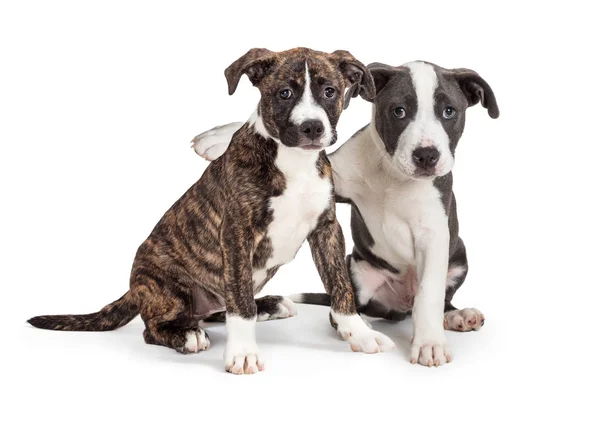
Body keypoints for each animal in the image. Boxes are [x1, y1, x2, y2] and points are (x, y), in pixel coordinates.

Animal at [28, 47, 396, 374]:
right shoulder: (236, 233)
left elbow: (340, 286)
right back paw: (187, 335)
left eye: (329, 91)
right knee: (160, 325)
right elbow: (240, 302)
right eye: (285, 93)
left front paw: (359, 333)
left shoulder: (327, 228)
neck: (293, 161)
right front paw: (244, 352)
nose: (312, 128)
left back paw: (268, 305)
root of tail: (135, 288)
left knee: (222, 306)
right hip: (169, 286)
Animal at [191, 60, 496, 366]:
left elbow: (428, 294)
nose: (426, 155)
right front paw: (217, 138)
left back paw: (459, 315)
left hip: (459, 258)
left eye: (449, 112)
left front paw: (430, 343)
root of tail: (399, 307)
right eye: (398, 111)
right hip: (356, 267)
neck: (393, 175)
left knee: (441, 300)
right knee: (349, 305)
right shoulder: (331, 176)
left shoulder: (433, 233)